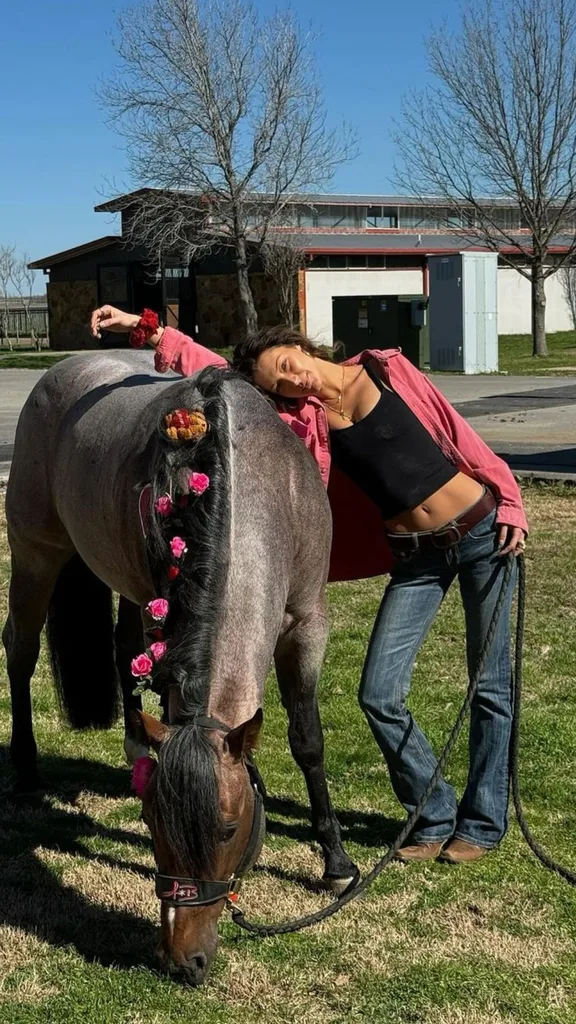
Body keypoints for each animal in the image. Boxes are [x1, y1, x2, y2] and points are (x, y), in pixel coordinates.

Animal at [2, 350, 356, 983]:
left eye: (228, 829)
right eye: (152, 826)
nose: (182, 961)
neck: (255, 479)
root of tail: (63, 367)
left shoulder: (307, 623)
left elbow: (308, 739)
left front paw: (335, 860)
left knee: (122, 649)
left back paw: (132, 743)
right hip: (36, 554)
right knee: (20, 651)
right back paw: (25, 767)